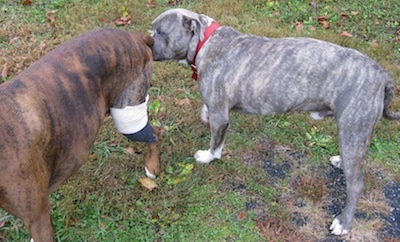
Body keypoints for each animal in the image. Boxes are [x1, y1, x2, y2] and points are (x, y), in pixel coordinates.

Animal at [151, 8, 400, 235]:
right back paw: (341, 161)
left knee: (356, 185)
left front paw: (208, 157)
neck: (206, 42)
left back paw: (343, 223)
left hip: (352, 131)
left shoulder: (220, 115)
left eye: (161, 31)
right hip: (355, 135)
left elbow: (215, 142)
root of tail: (382, 74)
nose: (147, 40)